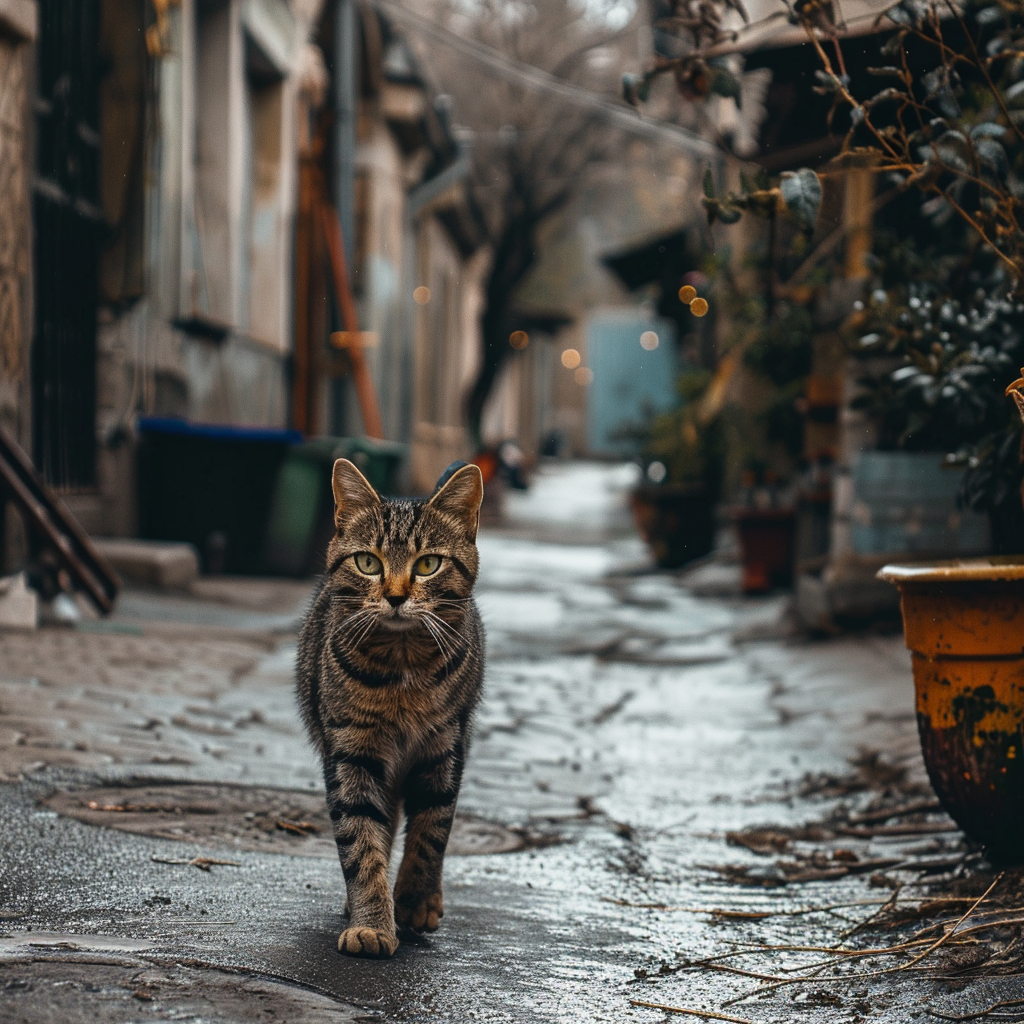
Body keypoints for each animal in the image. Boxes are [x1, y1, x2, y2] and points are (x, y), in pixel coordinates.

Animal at [299, 460, 485, 954]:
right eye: (368, 562)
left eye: (427, 564)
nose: (397, 596)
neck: (402, 670)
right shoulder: (351, 750)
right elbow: (361, 839)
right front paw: (372, 922)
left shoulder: (445, 747)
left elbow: (431, 831)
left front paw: (416, 900)